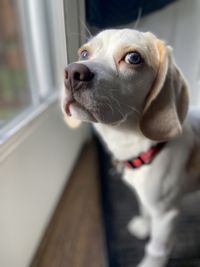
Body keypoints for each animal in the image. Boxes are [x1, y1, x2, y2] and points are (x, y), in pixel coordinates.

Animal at [61, 29, 200, 267]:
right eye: (84, 53)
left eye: (133, 58)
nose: (72, 72)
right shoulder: (147, 199)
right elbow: (144, 209)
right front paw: (144, 226)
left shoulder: (166, 214)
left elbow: (156, 249)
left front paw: (150, 263)